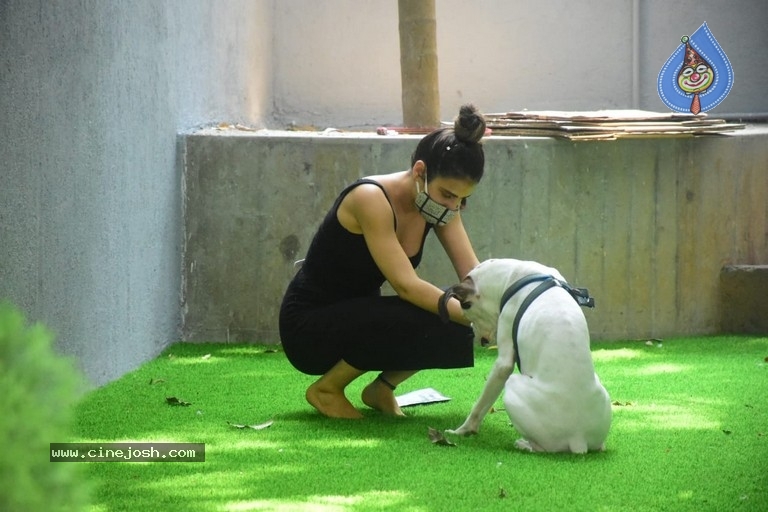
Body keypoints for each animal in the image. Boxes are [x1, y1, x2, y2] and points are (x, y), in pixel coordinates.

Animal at [440, 260, 608, 452]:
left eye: (466, 307)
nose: (479, 339)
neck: (512, 276)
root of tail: (578, 440)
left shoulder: (503, 361)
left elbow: (480, 405)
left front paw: (462, 430)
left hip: (513, 384)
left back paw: (524, 444)